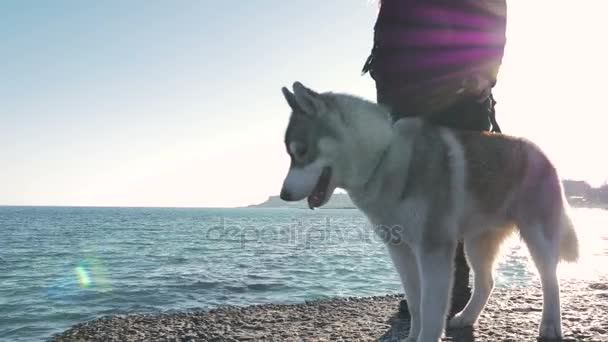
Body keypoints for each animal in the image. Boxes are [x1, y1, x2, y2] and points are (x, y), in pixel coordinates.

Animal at [280, 83, 580, 342]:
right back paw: (466, 318)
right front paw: (412, 336)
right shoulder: (400, 248)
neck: (383, 157)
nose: (283, 195)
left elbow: (431, 306)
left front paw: (426, 336)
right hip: (476, 243)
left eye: (301, 151)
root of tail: (543, 154)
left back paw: (550, 326)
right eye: (290, 155)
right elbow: (415, 301)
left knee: (551, 280)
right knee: (487, 282)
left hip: (537, 236)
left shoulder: (433, 248)